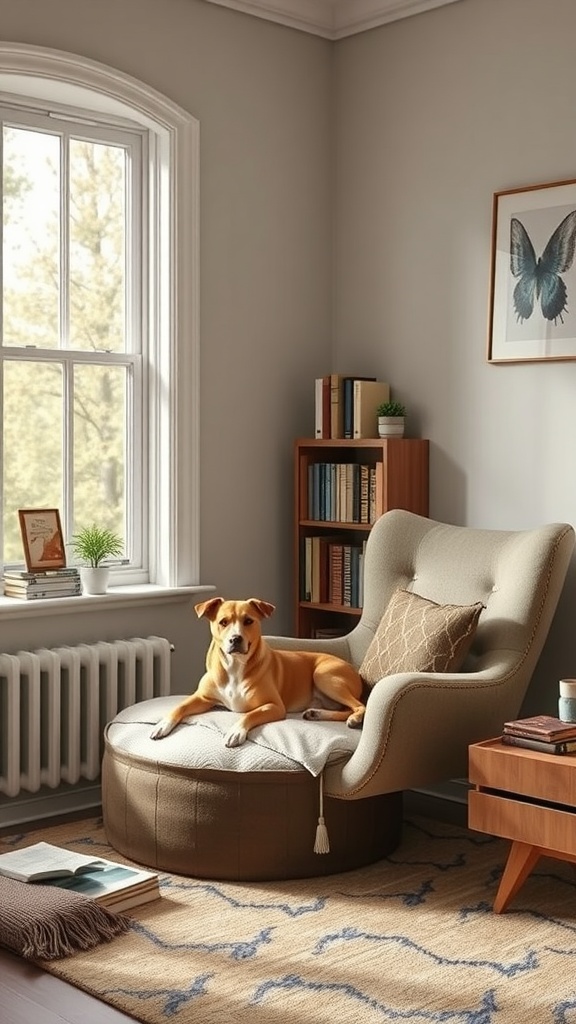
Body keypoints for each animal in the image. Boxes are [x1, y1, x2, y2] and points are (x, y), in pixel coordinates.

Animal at [147, 598, 362, 749]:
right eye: (223, 622)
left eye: (248, 620)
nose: (235, 639)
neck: (235, 666)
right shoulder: (203, 697)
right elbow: (180, 707)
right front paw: (162, 724)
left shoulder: (274, 706)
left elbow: (250, 714)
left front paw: (236, 731)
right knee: (346, 709)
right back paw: (316, 713)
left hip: (323, 675)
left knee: (359, 706)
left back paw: (354, 719)